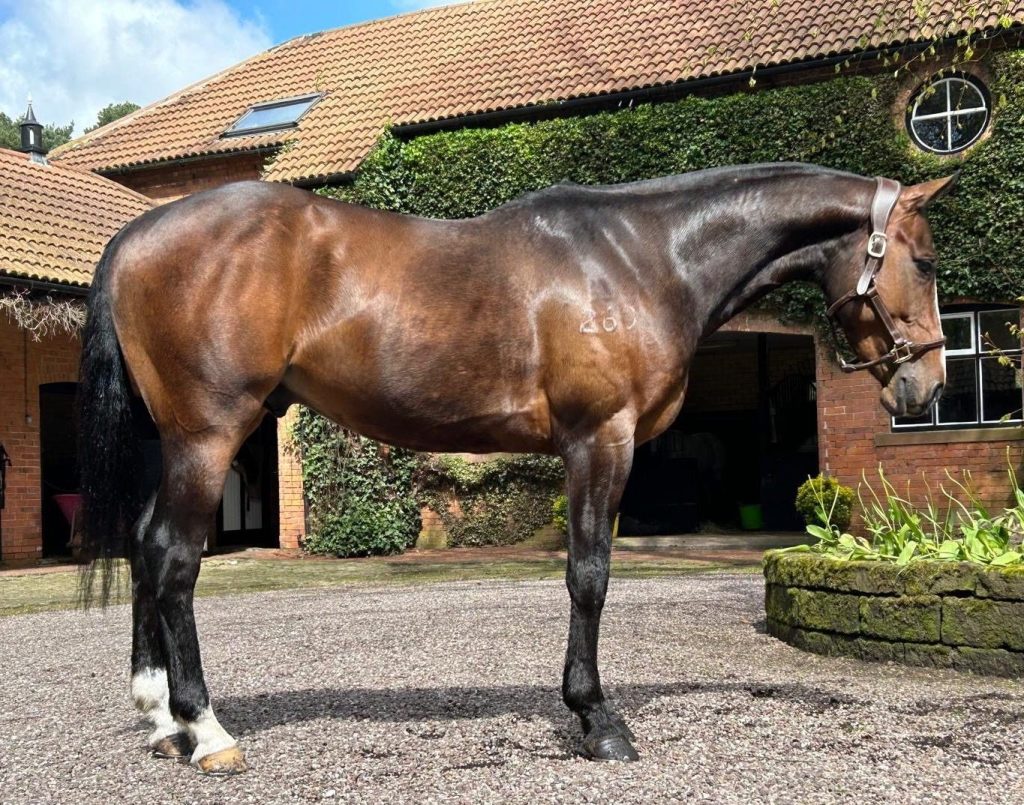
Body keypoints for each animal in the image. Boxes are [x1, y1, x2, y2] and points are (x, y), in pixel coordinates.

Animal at [76, 163, 954, 775]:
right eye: (926, 260)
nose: (929, 384)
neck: (643, 257)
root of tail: (136, 235)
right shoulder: (600, 440)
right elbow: (589, 576)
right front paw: (597, 719)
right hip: (208, 434)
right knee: (174, 558)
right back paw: (206, 729)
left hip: (174, 440)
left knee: (146, 548)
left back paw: (161, 718)